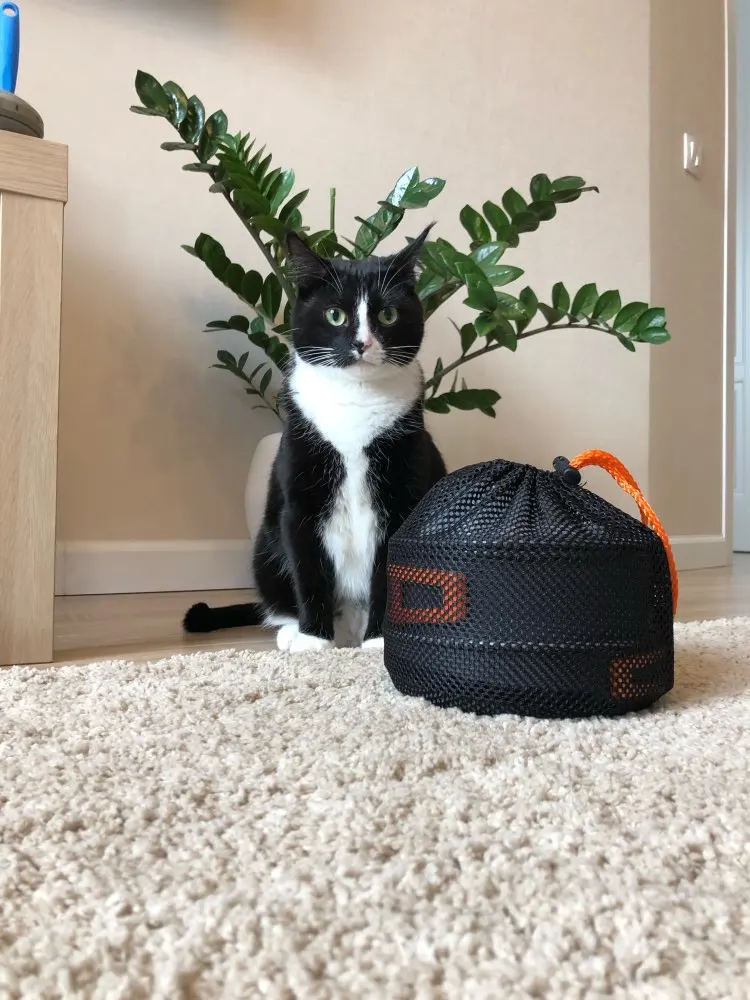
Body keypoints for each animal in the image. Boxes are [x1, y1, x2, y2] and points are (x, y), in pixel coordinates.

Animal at [183, 226, 446, 652]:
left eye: (387, 314)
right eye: (334, 315)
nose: (362, 343)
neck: (355, 401)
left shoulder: (403, 495)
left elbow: (389, 573)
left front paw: (380, 640)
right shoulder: (300, 491)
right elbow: (308, 568)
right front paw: (312, 639)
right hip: (265, 548)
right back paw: (294, 631)